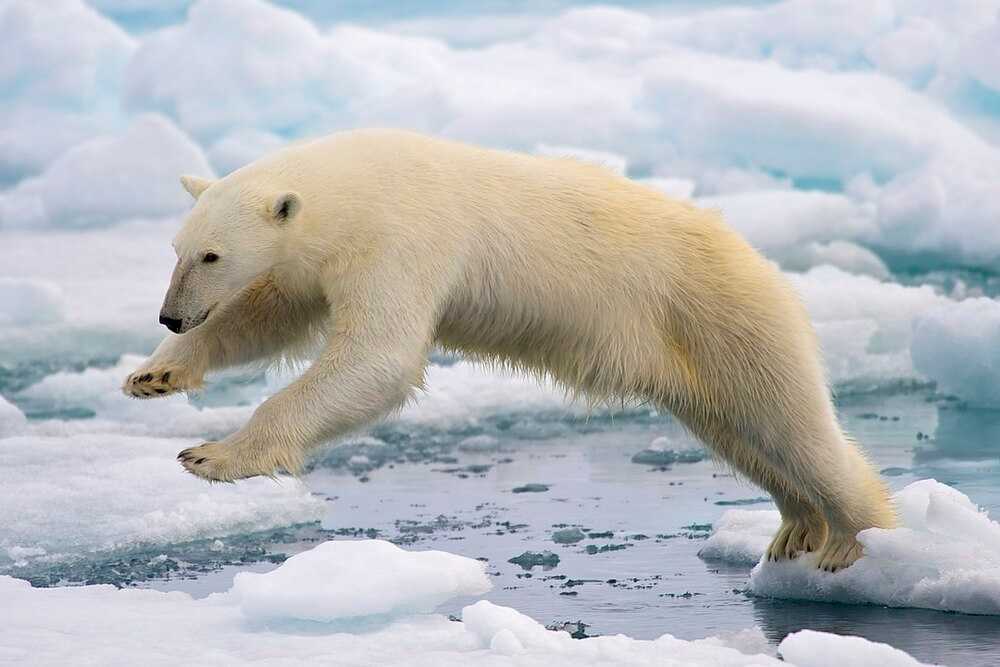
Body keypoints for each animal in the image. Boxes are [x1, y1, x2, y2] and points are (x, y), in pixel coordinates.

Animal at [125, 128, 900, 572]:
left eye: (212, 254)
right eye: (177, 249)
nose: (170, 315)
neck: (354, 185)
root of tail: (761, 262)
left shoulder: (401, 237)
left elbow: (377, 357)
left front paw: (212, 455)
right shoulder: (318, 260)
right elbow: (269, 316)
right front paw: (155, 374)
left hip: (724, 315)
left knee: (791, 423)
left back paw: (852, 540)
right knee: (741, 433)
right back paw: (795, 528)